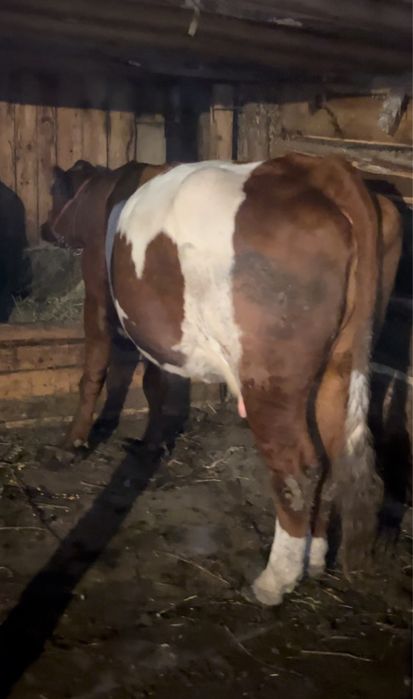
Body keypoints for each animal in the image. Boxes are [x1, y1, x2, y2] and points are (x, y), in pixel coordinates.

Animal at [42, 154, 402, 605]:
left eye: (54, 194)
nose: (45, 228)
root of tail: (318, 168)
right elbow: (157, 381)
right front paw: (151, 444)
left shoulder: (96, 291)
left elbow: (95, 368)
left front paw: (70, 445)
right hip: (342, 362)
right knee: (334, 456)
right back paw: (314, 559)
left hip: (270, 377)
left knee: (299, 468)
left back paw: (275, 580)